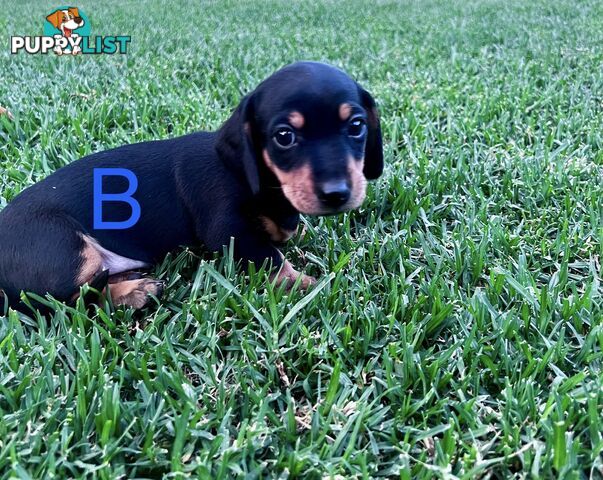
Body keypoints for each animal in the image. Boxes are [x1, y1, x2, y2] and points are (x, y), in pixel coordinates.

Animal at [0, 62, 384, 314]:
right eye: (284, 136)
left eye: (356, 126)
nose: (336, 194)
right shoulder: (227, 227)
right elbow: (270, 258)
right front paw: (307, 286)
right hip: (66, 247)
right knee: (66, 302)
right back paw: (134, 291)